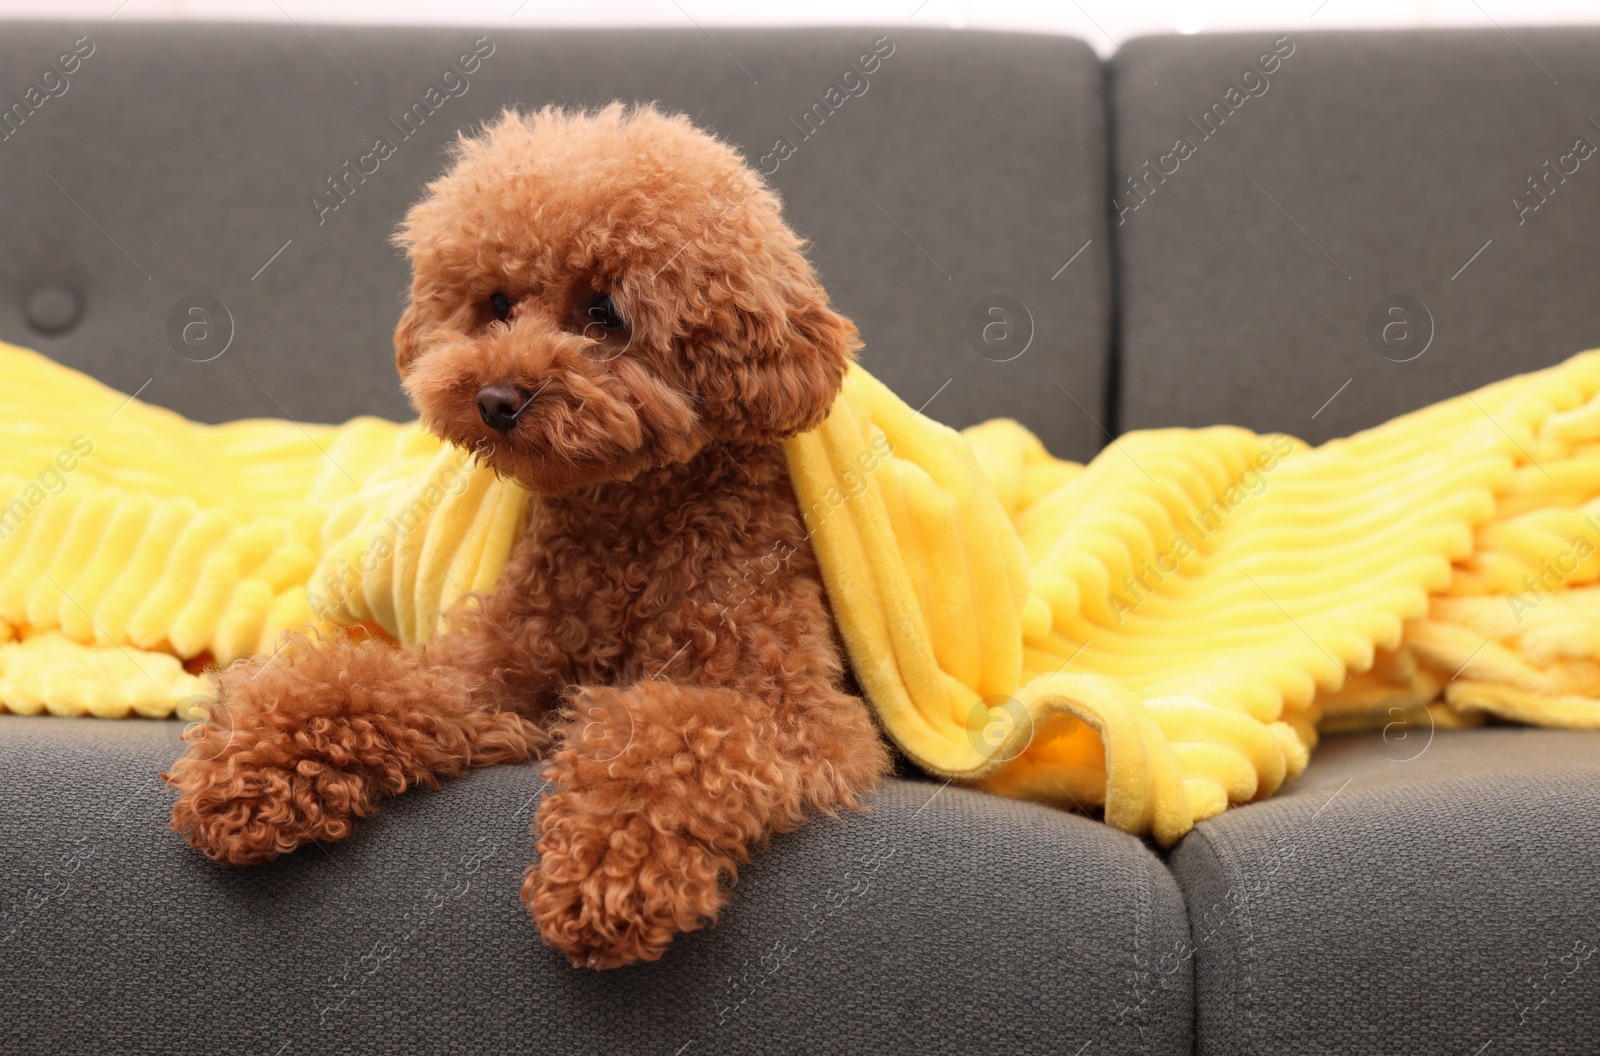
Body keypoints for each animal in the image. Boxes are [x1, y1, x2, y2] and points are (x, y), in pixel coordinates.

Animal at [168, 104, 896, 966]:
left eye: (605, 312)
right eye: (497, 302)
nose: (494, 399)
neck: (626, 529)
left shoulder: (799, 714)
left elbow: (672, 730)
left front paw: (611, 872)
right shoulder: (490, 671)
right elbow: (365, 679)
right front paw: (244, 767)